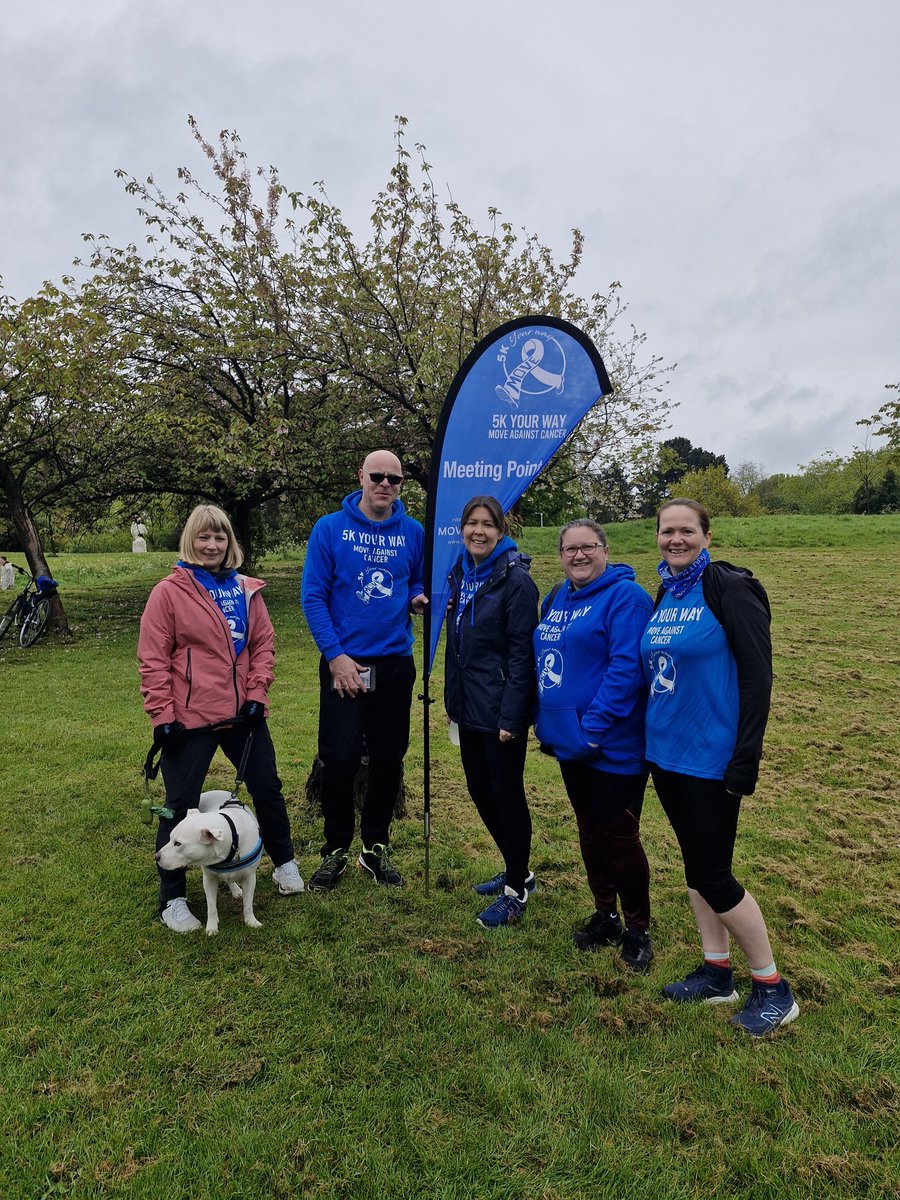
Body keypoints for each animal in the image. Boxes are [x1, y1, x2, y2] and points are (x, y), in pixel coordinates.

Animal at [156, 787, 264, 936]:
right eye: (170, 838)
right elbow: (211, 906)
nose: (157, 856)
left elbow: (248, 904)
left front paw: (251, 922)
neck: (232, 839)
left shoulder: (250, 878)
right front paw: (212, 927)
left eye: (178, 843)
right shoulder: (209, 880)